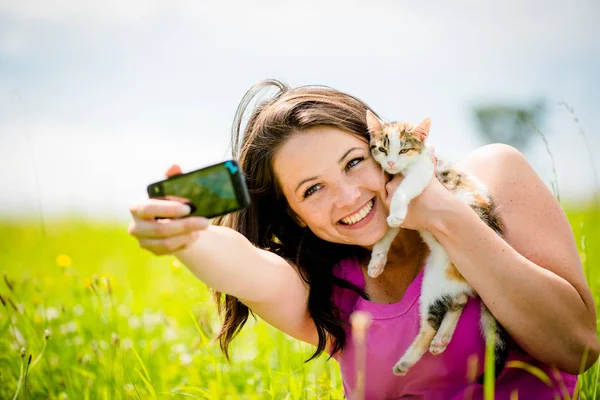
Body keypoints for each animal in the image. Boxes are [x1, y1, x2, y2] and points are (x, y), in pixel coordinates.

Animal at [364, 111, 508, 382]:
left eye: (404, 149)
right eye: (382, 148)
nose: (390, 163)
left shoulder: (423, 171)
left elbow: (403, 191)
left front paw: (396, 213)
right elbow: (388, 233)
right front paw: (377, 260)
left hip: (435, 283)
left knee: (432, 322)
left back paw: (407, 361)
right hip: (439, 278)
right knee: (458, 300)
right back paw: (441, 340)